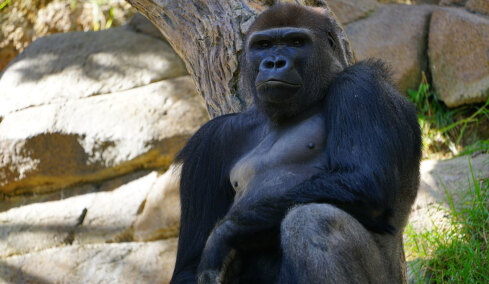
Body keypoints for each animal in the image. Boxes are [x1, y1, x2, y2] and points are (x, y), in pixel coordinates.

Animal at [171, 2, 420, 284]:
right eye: (263, 45)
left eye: (296, 42)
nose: (274, 63)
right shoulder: (211, 139)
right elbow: (188, 266)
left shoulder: (361, 83)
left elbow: (365, 181)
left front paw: (223, 236)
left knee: (313, 220)